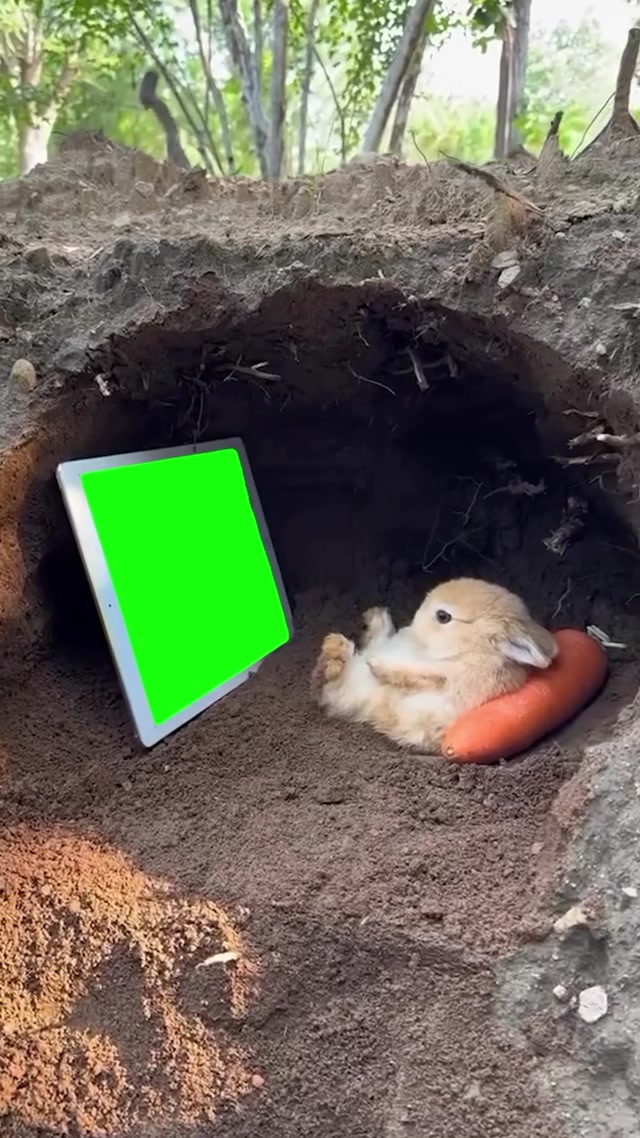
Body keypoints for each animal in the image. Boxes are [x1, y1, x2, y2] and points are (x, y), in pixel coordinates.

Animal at [311, 577, 557, 753]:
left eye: (443, 616)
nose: (410, 627)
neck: (469, 649)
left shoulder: (453, 678)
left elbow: (417, 675)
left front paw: (378, 666)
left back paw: (339, 647)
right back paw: (374, 619)